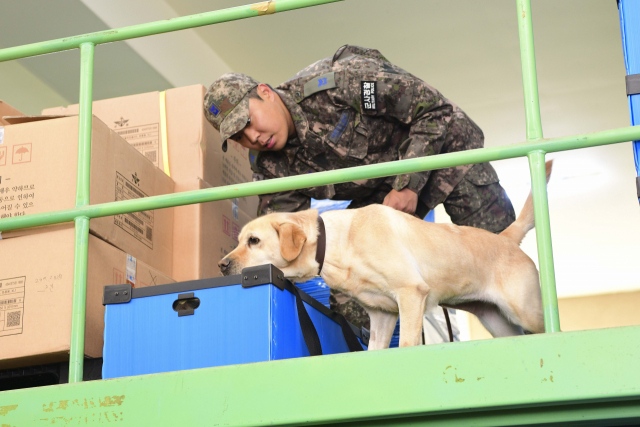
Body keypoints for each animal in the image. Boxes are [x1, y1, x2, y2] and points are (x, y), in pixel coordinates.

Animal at [219, 162, 552, 350]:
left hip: (527, 311)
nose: (221, 265)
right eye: (239, 241)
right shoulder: (381, 316)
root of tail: (505, 238)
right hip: (499, 322)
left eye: (253, 241)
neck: (338, 243)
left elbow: (406, 344)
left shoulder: (411, 294)